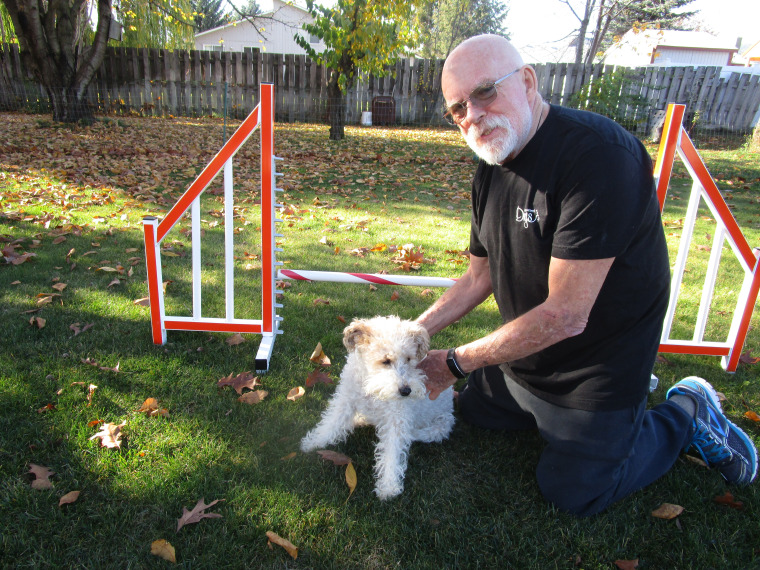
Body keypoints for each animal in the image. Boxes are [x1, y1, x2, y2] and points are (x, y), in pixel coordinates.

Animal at [300, 316, 454, 496]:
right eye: (386, 361)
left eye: (409, 359)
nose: (406, 391)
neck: (372, 385)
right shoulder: (346, 400)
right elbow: (330, 424)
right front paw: (312, 443)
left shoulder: (396, 420)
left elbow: (392, 452)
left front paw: (388, 486)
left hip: (442, 424)